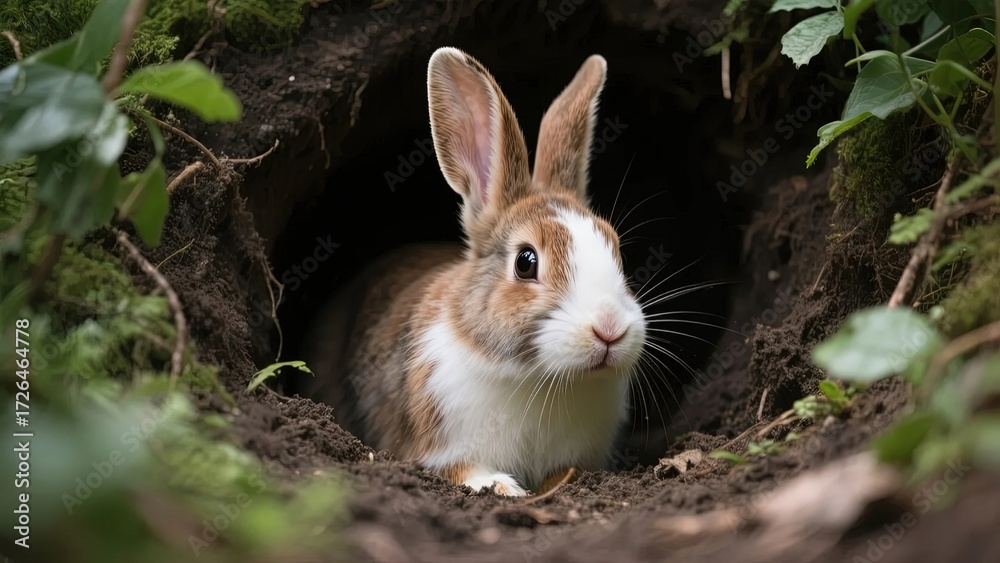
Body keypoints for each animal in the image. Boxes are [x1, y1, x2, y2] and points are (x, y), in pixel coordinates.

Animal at [304, 47, 647, 496]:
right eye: (526, 262)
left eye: (617, 251)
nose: (609, 328)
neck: (538, 378)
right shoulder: (437, 445)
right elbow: (464, 470)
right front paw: (504, 487)